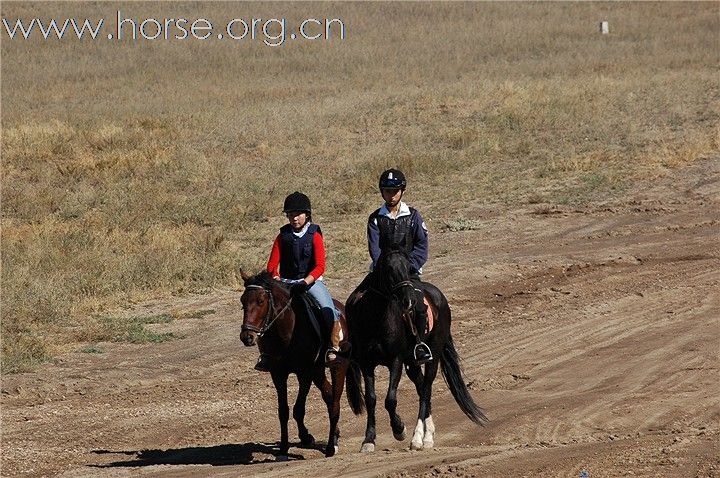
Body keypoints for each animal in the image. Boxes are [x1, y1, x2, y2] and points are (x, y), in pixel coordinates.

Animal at [238, 268, 360, 458]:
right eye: (243, 301)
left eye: (260, 301)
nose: (247, 337)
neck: (287, 331)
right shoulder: (278, 374)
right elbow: (284, 411)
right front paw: (285, 447)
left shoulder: (305, 373)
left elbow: (298, 409)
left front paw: (306, 438)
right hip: (318, 372)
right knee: (329, 396)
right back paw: (334, 435)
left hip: (337, 366)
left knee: (335, 403)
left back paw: (331, 446)